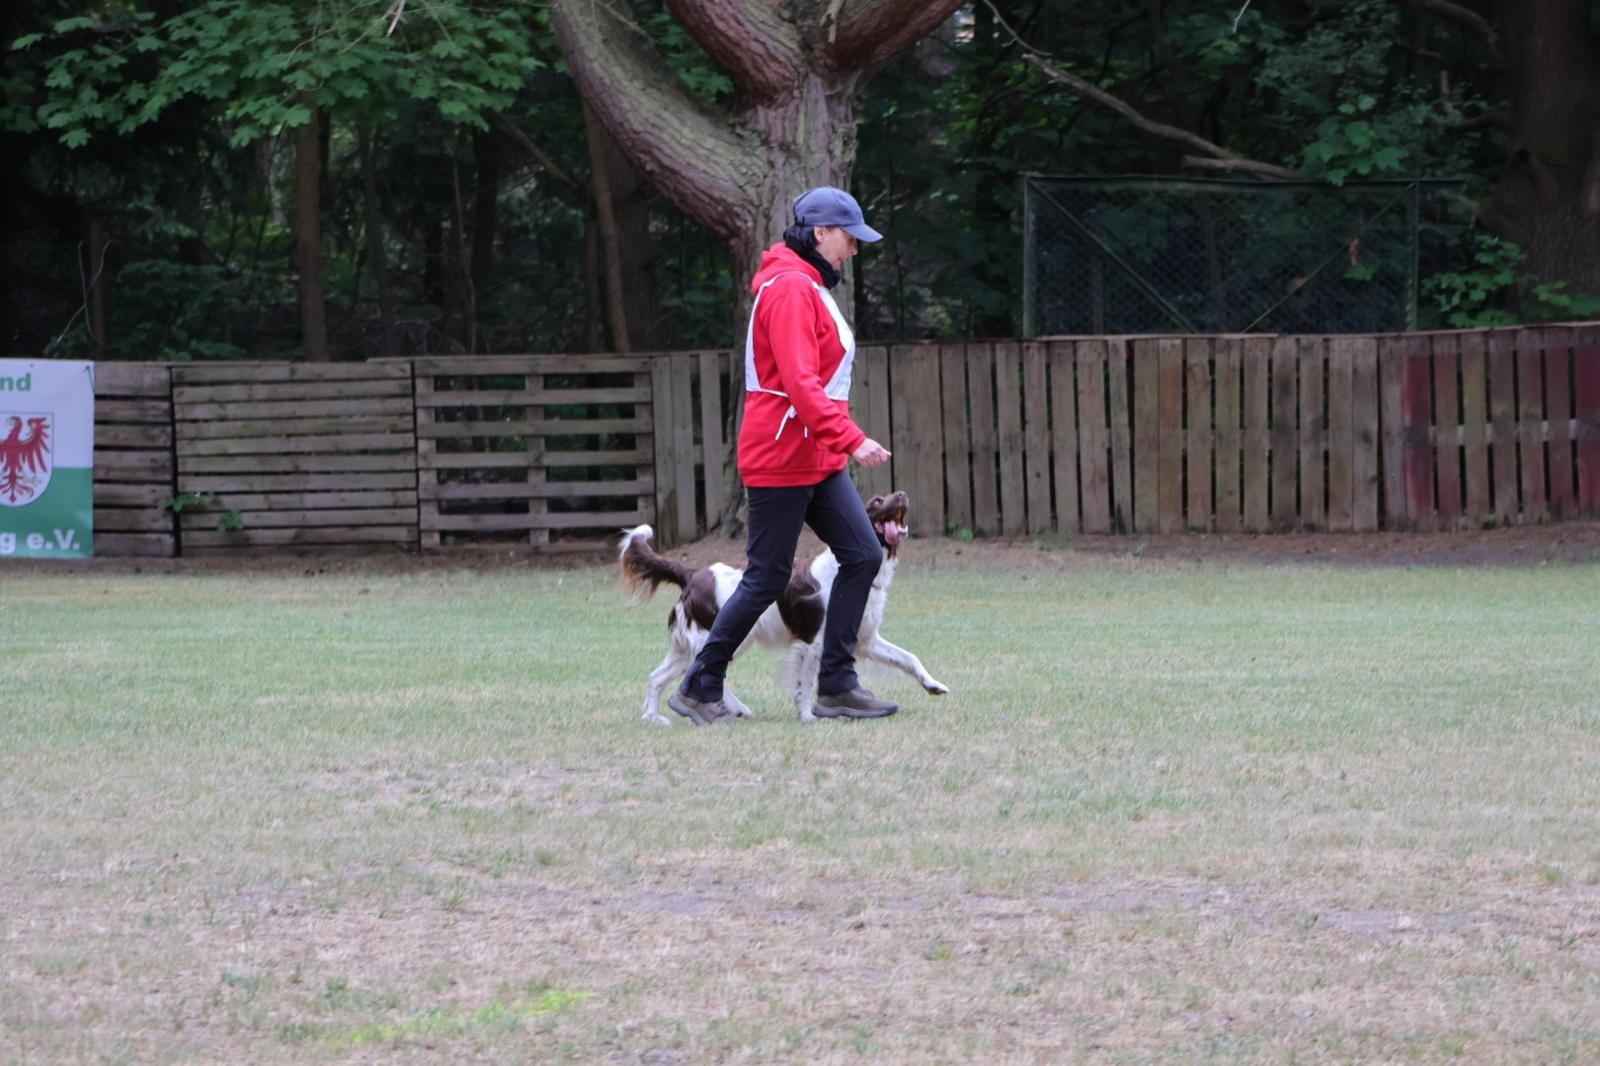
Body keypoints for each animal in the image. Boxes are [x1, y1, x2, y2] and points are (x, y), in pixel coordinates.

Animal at [618, 489, 949, 724]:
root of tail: (692, 573)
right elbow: (805, 684)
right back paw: (731, 709)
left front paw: (934, 685)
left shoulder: (866, 639)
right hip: (722, 637)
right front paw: (807, 716)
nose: (903, 493)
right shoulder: (814, 642)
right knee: (705, 670)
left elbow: (909, 657)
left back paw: (654, 717)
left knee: (658, 676)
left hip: (686, 646)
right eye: (878, 501)